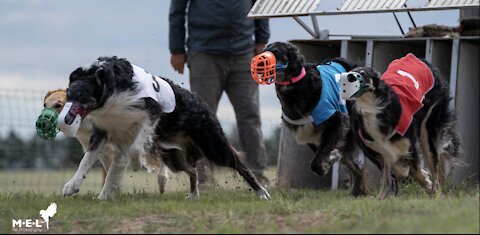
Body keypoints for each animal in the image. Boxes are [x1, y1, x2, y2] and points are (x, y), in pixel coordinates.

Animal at [60, 56, 270, 199]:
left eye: (81, 95)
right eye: (68, 95)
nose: (67, 119)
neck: (110, 85)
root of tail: (202, 104)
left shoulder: (151, 113)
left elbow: (134, 148)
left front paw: (136, 163)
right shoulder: (103, 132)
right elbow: (86, 160)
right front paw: (71, 186)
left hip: (213, 146)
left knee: (240, 165)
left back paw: (262, 192)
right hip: (174, 155)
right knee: (192, 170)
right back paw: (193, 195)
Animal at [251, 42, 368, 196]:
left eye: (276, 52)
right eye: (264, 50)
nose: (257, 63)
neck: (297, 87)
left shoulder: (336, 121)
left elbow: (318, 160)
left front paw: (327, 162)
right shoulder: (309, 134)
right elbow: (322, 156)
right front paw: (329, 160)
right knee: (357, 167)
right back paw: (357, 191)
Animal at [342, 53, 462, 198]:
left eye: (362, 73)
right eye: (348, 73)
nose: (348, 78)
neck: (371, 109)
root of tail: (418, 58)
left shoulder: (409, 144)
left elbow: (414, 172)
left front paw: (426, 182)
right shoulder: (374, 149)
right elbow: (396, 170)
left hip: (428, 128)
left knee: (434, 164)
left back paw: (436, 191)